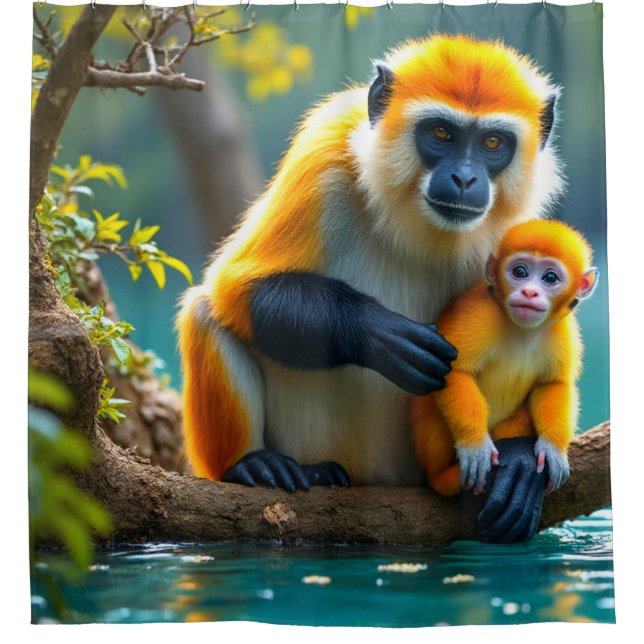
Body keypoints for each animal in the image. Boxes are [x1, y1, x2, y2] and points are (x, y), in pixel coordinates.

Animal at [177, 34, 564, 540]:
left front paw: (520, 458)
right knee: (207, 311)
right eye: (441, 134)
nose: (464, 178)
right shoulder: (324, 150)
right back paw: (254, 464)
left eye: (492, 142)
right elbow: (235, 291)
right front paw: (377, 333)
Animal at [412, 219, 597, 539]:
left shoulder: (563, 332)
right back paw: (445, 479)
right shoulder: (478, 313)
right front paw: (475, 447)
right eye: (519, 272)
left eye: (550, 277)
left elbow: (553, 384)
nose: (530, 293)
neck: (522, 330)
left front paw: (552, 449)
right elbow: (454, 370)